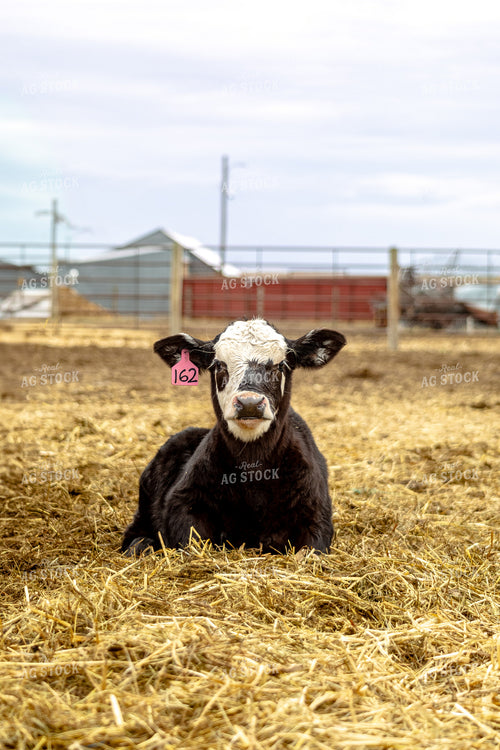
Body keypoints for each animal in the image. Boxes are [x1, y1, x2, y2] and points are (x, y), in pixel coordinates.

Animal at [121, 318, 346, 556]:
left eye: (281, 365)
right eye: (219, 365)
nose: (249, 403)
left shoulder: (317, 515)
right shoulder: (181, 502)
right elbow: (190, 540)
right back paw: (141, 544)